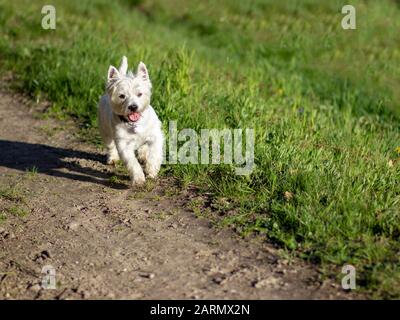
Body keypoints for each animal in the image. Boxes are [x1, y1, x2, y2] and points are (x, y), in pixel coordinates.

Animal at [97, 55, 163, 185]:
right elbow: (131, 162)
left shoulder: (155, 136)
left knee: (144, 147)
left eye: (139, 94)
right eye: (122, 96)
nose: (133, 107)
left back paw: (143, 154)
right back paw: (112, 158)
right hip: (105, 131)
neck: (134, 124)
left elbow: (154, 153)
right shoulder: (124, 144)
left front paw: (151, 170)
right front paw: (138, 178)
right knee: (110, 146)